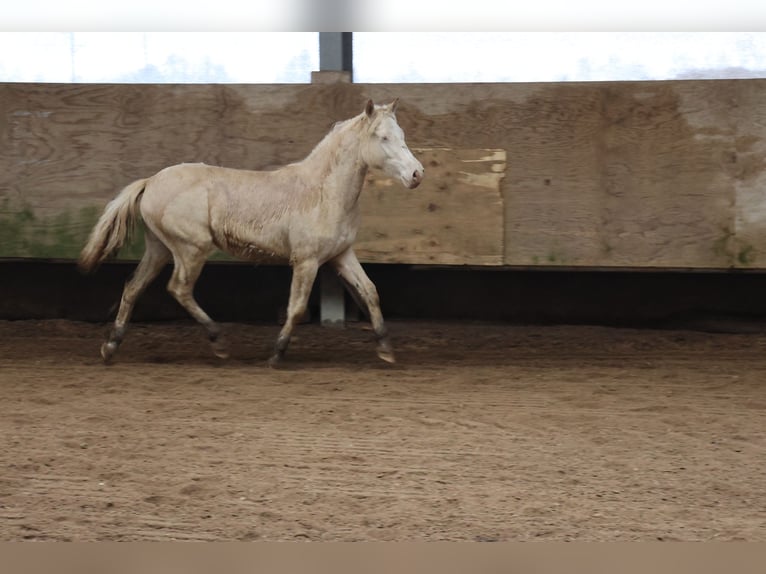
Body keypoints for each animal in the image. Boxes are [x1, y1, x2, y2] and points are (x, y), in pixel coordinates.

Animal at [79, 98, 426, 368]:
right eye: (382, 137)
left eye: (401, 135)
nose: (417, 174)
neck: (323, 192)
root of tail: (150, 181)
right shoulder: (307, 261)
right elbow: (297, 307)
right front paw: (276, 354)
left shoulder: (341, 255)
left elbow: (370, 291)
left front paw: (386, 350)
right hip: (191, 249)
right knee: (178, 289)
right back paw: (218, 342)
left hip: (160, 249)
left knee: (133, 287)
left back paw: (110, 347)